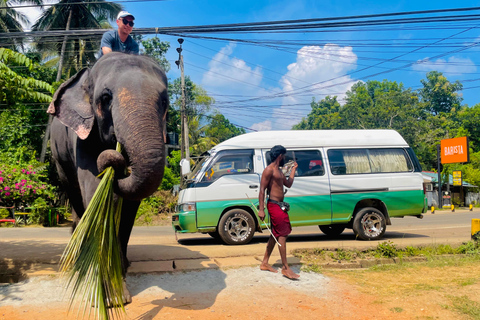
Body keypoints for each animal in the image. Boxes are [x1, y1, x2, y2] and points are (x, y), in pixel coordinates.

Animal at [48, 52, 169, 302]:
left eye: (164, 102)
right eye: (105, 98)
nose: (119, 159)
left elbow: (130, 205)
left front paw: (121, 272)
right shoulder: (82, 136)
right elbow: (98, 193)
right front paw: (112, 297)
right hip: (58, 157)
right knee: (75, 196)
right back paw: (78, 261)